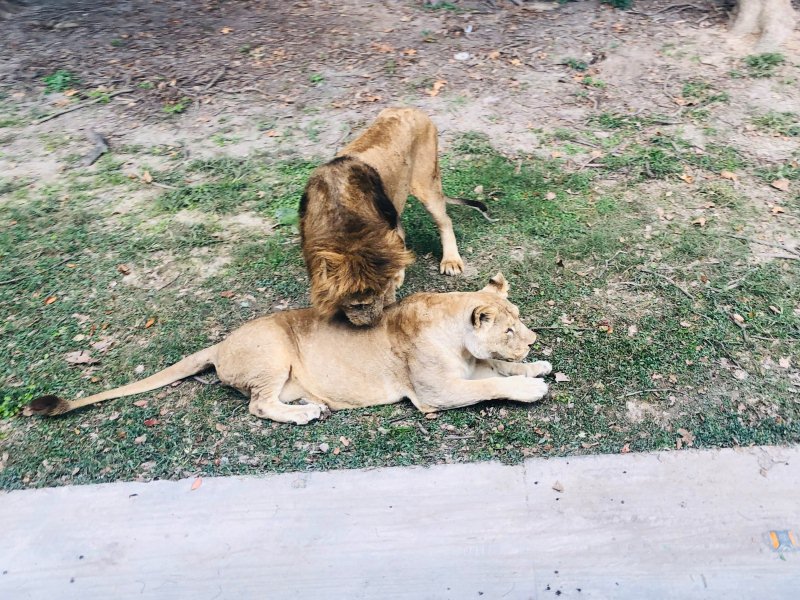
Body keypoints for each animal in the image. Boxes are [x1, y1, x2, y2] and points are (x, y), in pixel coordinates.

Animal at [26, 274, 551, 424]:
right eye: (509, 329)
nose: (532, 339)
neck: (459, 344)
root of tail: (221, 343)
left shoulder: (468, 368)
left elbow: (500, 375)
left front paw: (538, 365)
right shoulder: (434, 394)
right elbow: (491, 389)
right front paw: (533, 387)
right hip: (273, 352)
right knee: (258, 405)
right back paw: (305, 415)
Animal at [300, 107, 490, 326]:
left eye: (382, 293)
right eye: (357, 305)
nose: (374, 324)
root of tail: (413, 108)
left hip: (426, 183)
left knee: (444, 221)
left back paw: (450, 261)